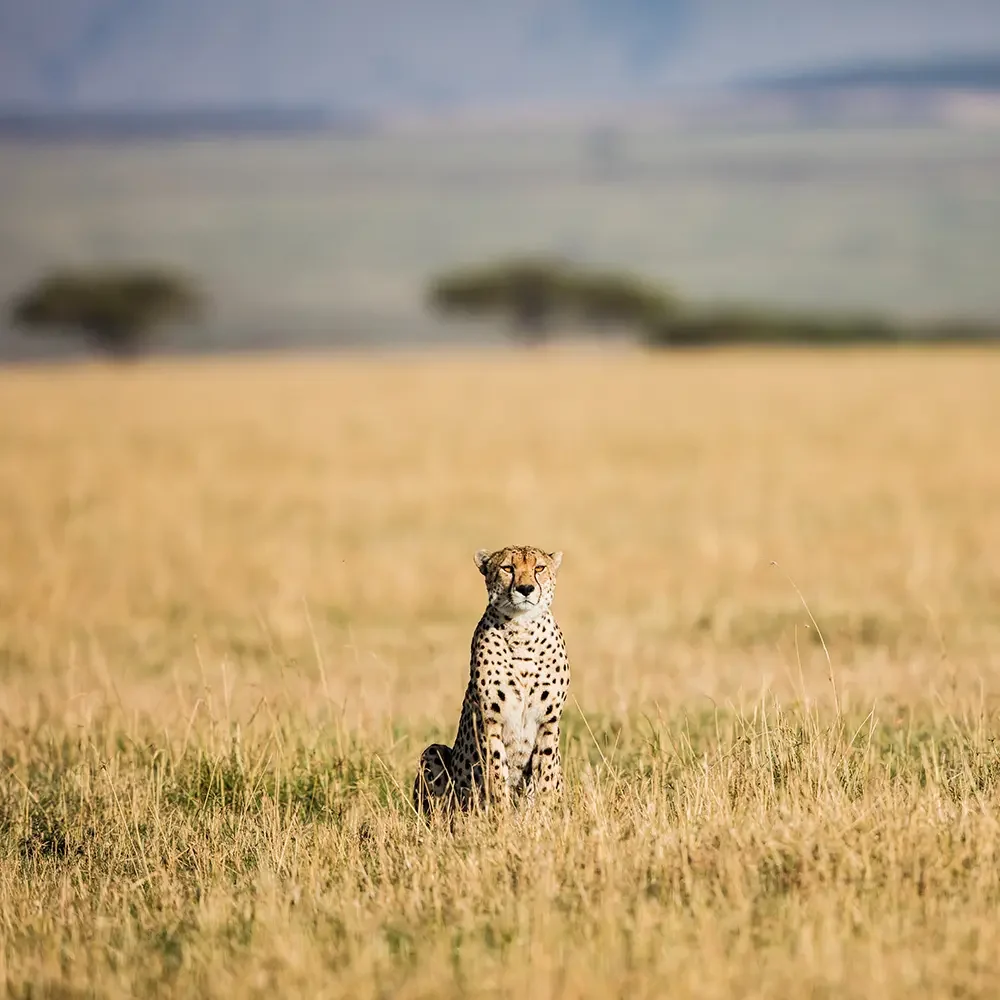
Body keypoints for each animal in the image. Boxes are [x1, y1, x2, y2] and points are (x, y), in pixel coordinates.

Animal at [413, 545, 570, 817]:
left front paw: (544, 817)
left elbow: (546, 775)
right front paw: (501, 818)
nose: (526, 589)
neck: (522, 630)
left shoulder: (548, 721)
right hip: (434, 752)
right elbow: (496, 775)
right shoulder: (490, 721)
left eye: (539, 568)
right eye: (508, 568)